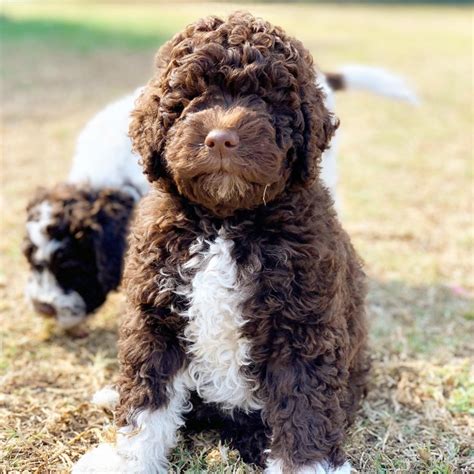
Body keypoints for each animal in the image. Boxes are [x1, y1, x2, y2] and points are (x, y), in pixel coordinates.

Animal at [72, 11, 420, 474]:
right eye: (192, 99)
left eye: (266, 100)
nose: (221, 138)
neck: (225, 222)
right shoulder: (156, 314)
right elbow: (148, 395)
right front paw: (127, 459)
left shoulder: (301, 325)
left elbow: (303, 405)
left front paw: (305, 465)